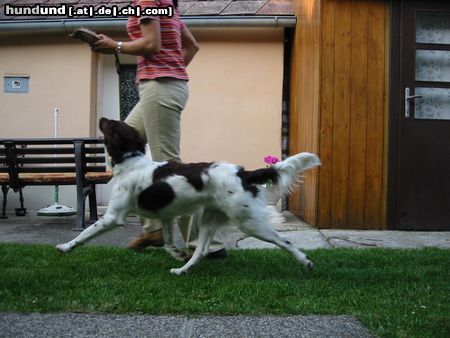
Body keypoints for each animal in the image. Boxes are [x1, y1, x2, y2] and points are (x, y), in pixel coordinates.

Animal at [56, 118, 322, 274]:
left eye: (111, 126)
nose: (101, 118)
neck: (132, 161)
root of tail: (243, 172)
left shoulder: (114, 216)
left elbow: (85, 233)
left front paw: (65, 247)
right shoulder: (165, 216)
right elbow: (166, 241)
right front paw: (175, 254)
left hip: (249, 222)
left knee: (284, 241)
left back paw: (306, 262)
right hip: (209, 219)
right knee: (201, 251)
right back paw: (182, 270)